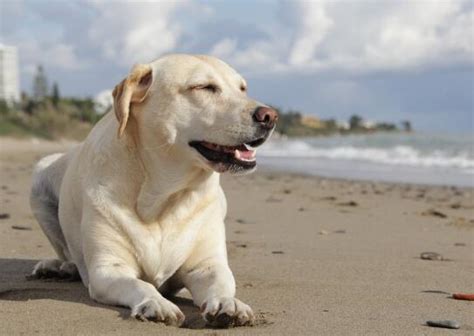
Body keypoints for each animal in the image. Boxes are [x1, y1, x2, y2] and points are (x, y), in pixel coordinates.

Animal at [28, 53, 278, 326]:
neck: (164, 197)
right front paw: (156, 303)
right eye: (204, 87)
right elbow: (140, 285)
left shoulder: (207, 265)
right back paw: (60, 267)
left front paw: (228, 303)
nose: (270, 116)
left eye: (242, 88)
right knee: (67, 253)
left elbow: (222, 282)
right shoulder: (108, 269)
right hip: (39, 175)